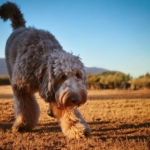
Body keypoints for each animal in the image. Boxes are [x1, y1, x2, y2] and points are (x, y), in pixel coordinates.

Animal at [0, 1, 90, 139]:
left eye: (78, 75)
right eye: (62, 76)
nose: (76, 99)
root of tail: (21, 27)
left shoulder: (58, 93)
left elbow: (67, 110)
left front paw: (75, 127)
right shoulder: (20, 87)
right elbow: (25, 108)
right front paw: (23, 124)